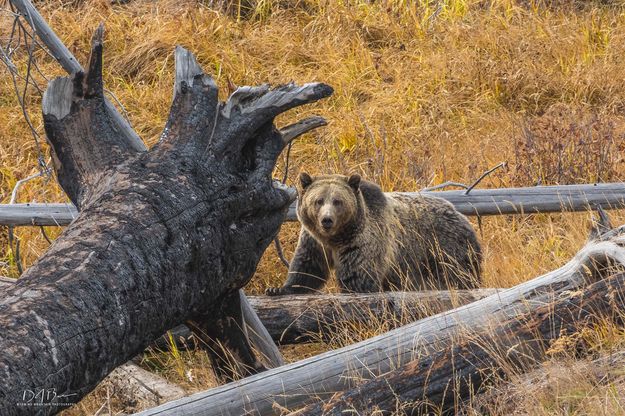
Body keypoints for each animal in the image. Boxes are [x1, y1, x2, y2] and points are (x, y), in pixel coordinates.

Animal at [266, 172, 480, 296]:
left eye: (337, 201)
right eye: (318, 201)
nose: (327, 220)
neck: (336, 237)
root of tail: (461, 215)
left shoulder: (363, 240)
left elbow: (359, 276)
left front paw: (350, 289)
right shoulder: (314, 241)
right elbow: (307, 268)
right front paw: (278, 289)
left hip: (444, 248)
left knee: (457, 275)